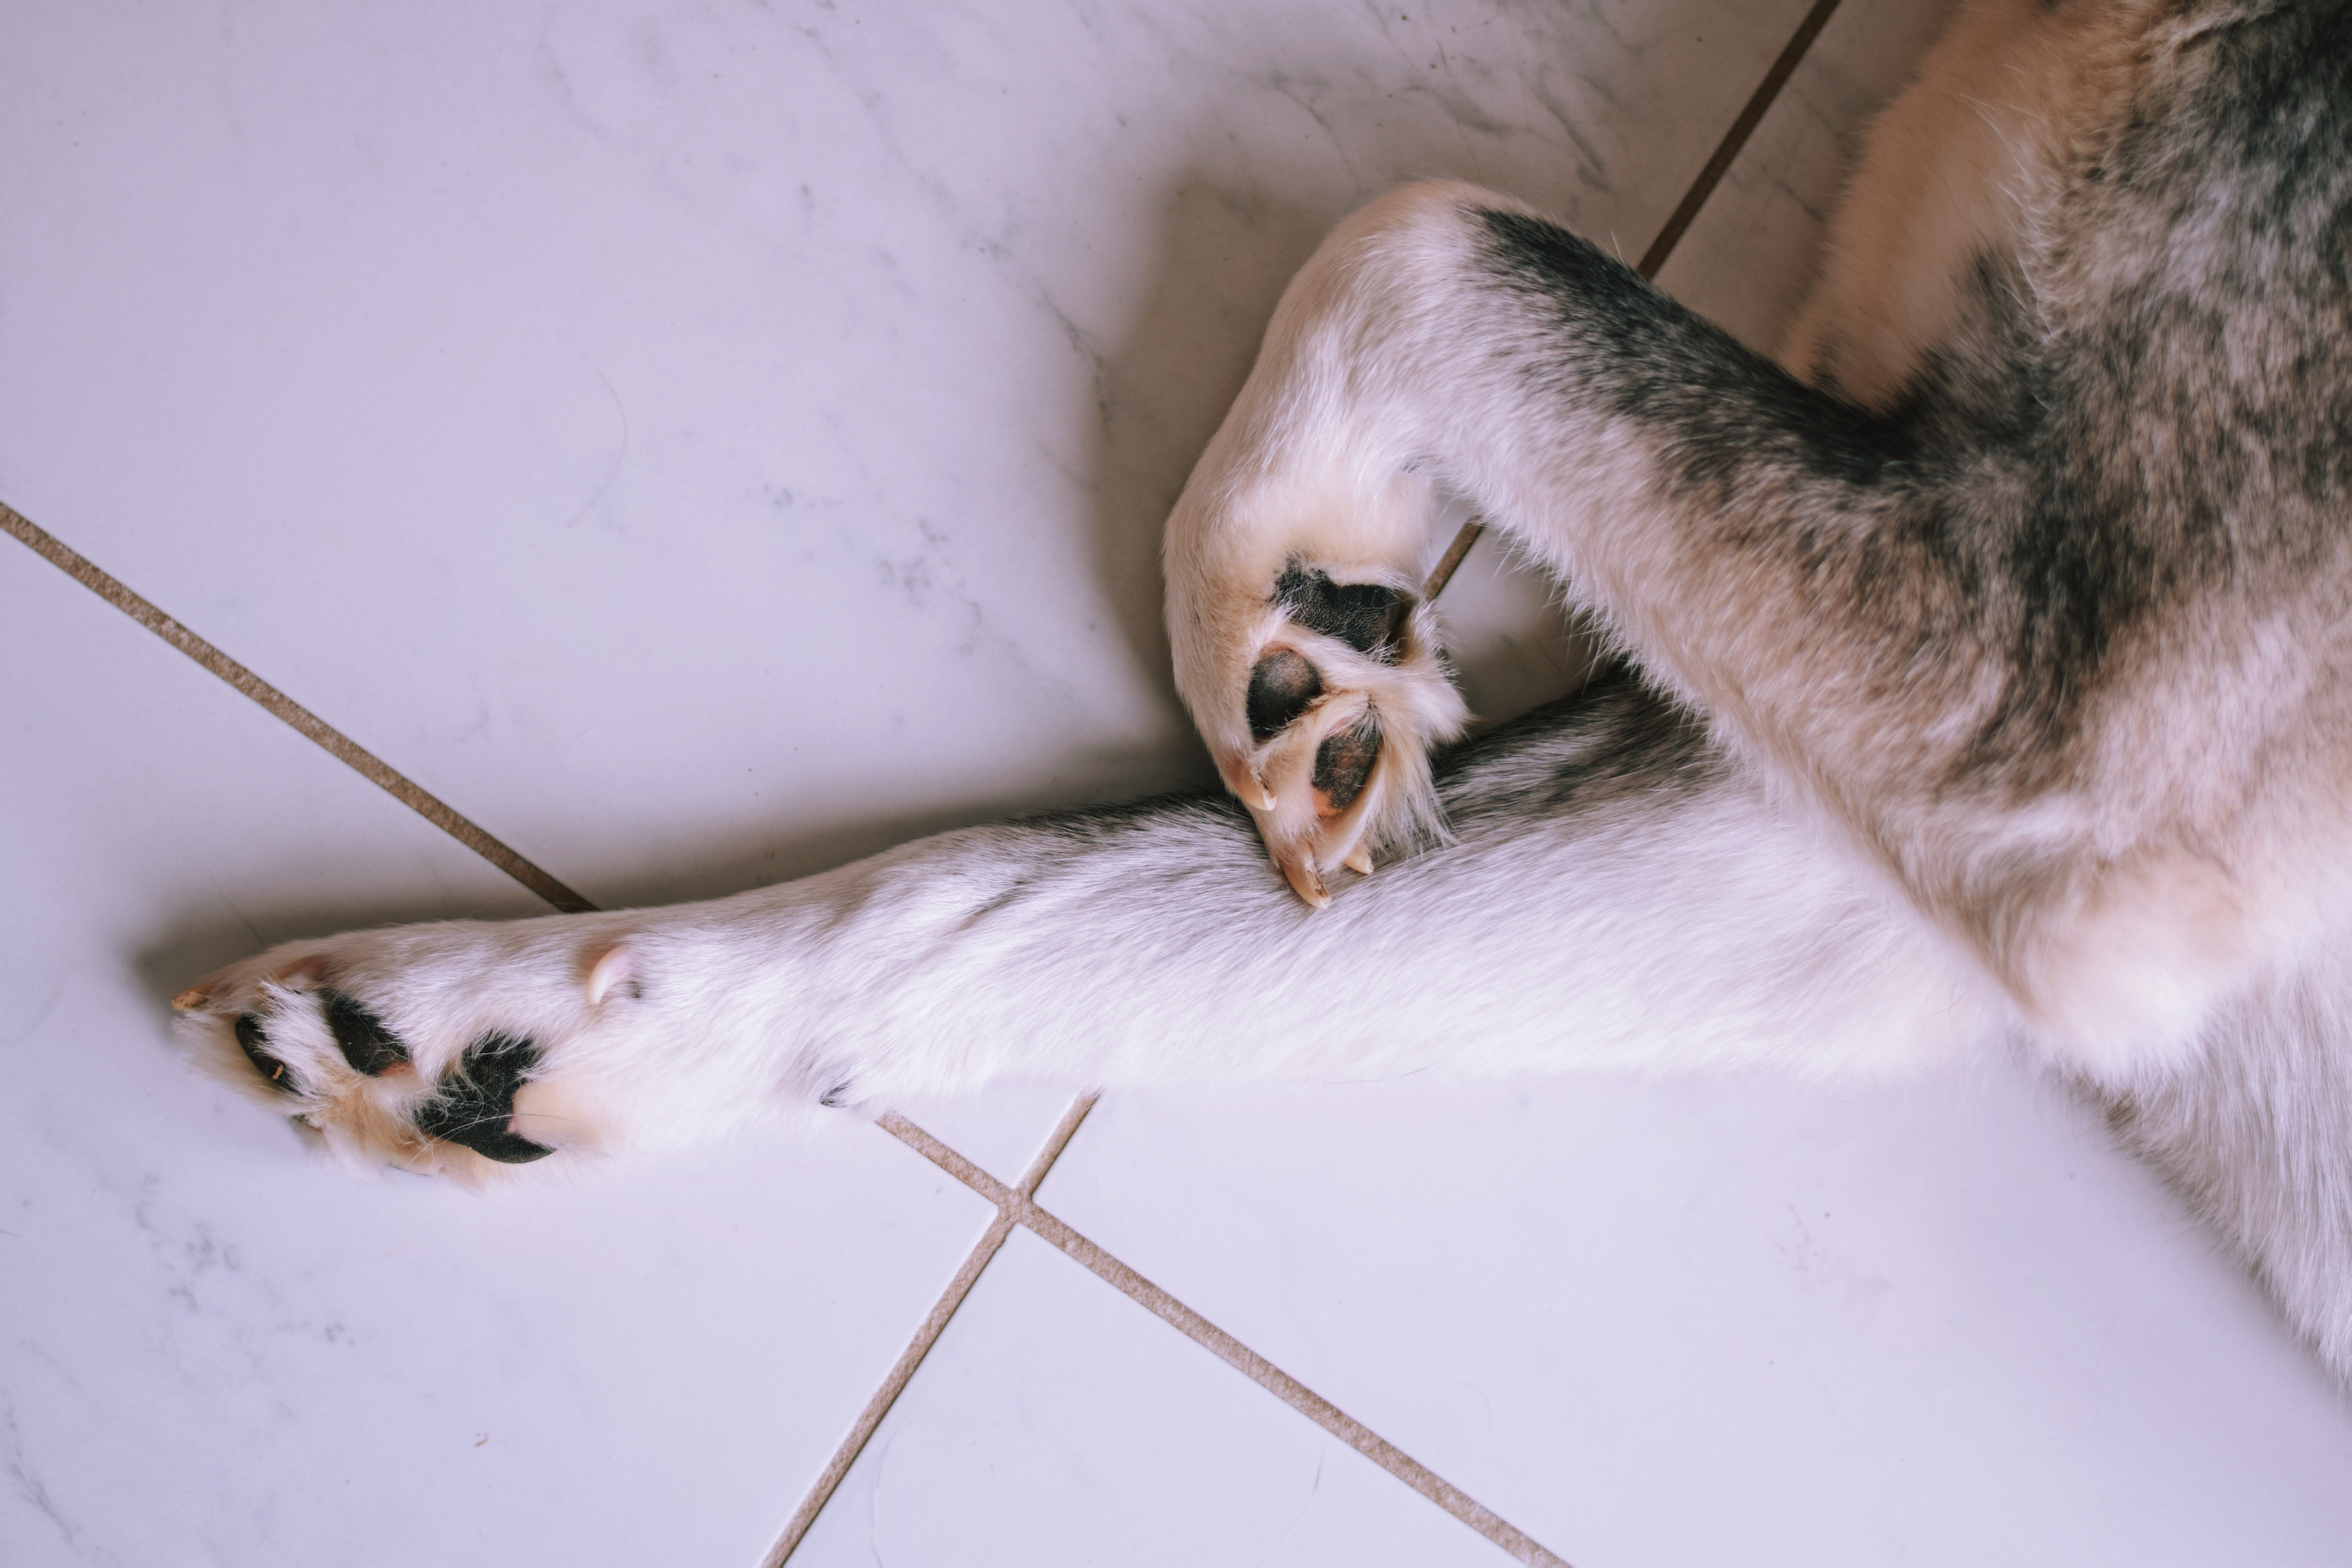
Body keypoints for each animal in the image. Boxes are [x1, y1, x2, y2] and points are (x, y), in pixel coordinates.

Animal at [174, 6, 2352, 1392]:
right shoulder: (1866, 863)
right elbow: (1018, 893)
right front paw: (513, 1015)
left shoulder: (2064, 729)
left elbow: (1424, 233)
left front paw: (1281, 592)